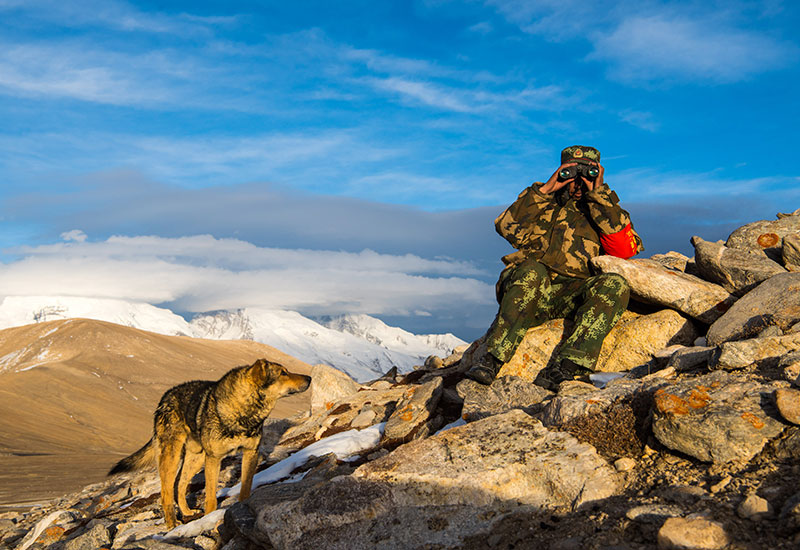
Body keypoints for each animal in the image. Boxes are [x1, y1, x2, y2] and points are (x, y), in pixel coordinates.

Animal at [111, 360, 310, 532]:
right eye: (283, 373)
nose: (309, 378)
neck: (243, 411)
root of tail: (164, 398)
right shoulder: (214, 458)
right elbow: (211, 496)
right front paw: (209, 518)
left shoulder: (251, 452)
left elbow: (246, 486)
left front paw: (241, 507)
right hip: (172, 457)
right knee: (166, 492)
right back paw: (172, 524)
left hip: (196, 459)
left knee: (180, 484)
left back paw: (187, 512)